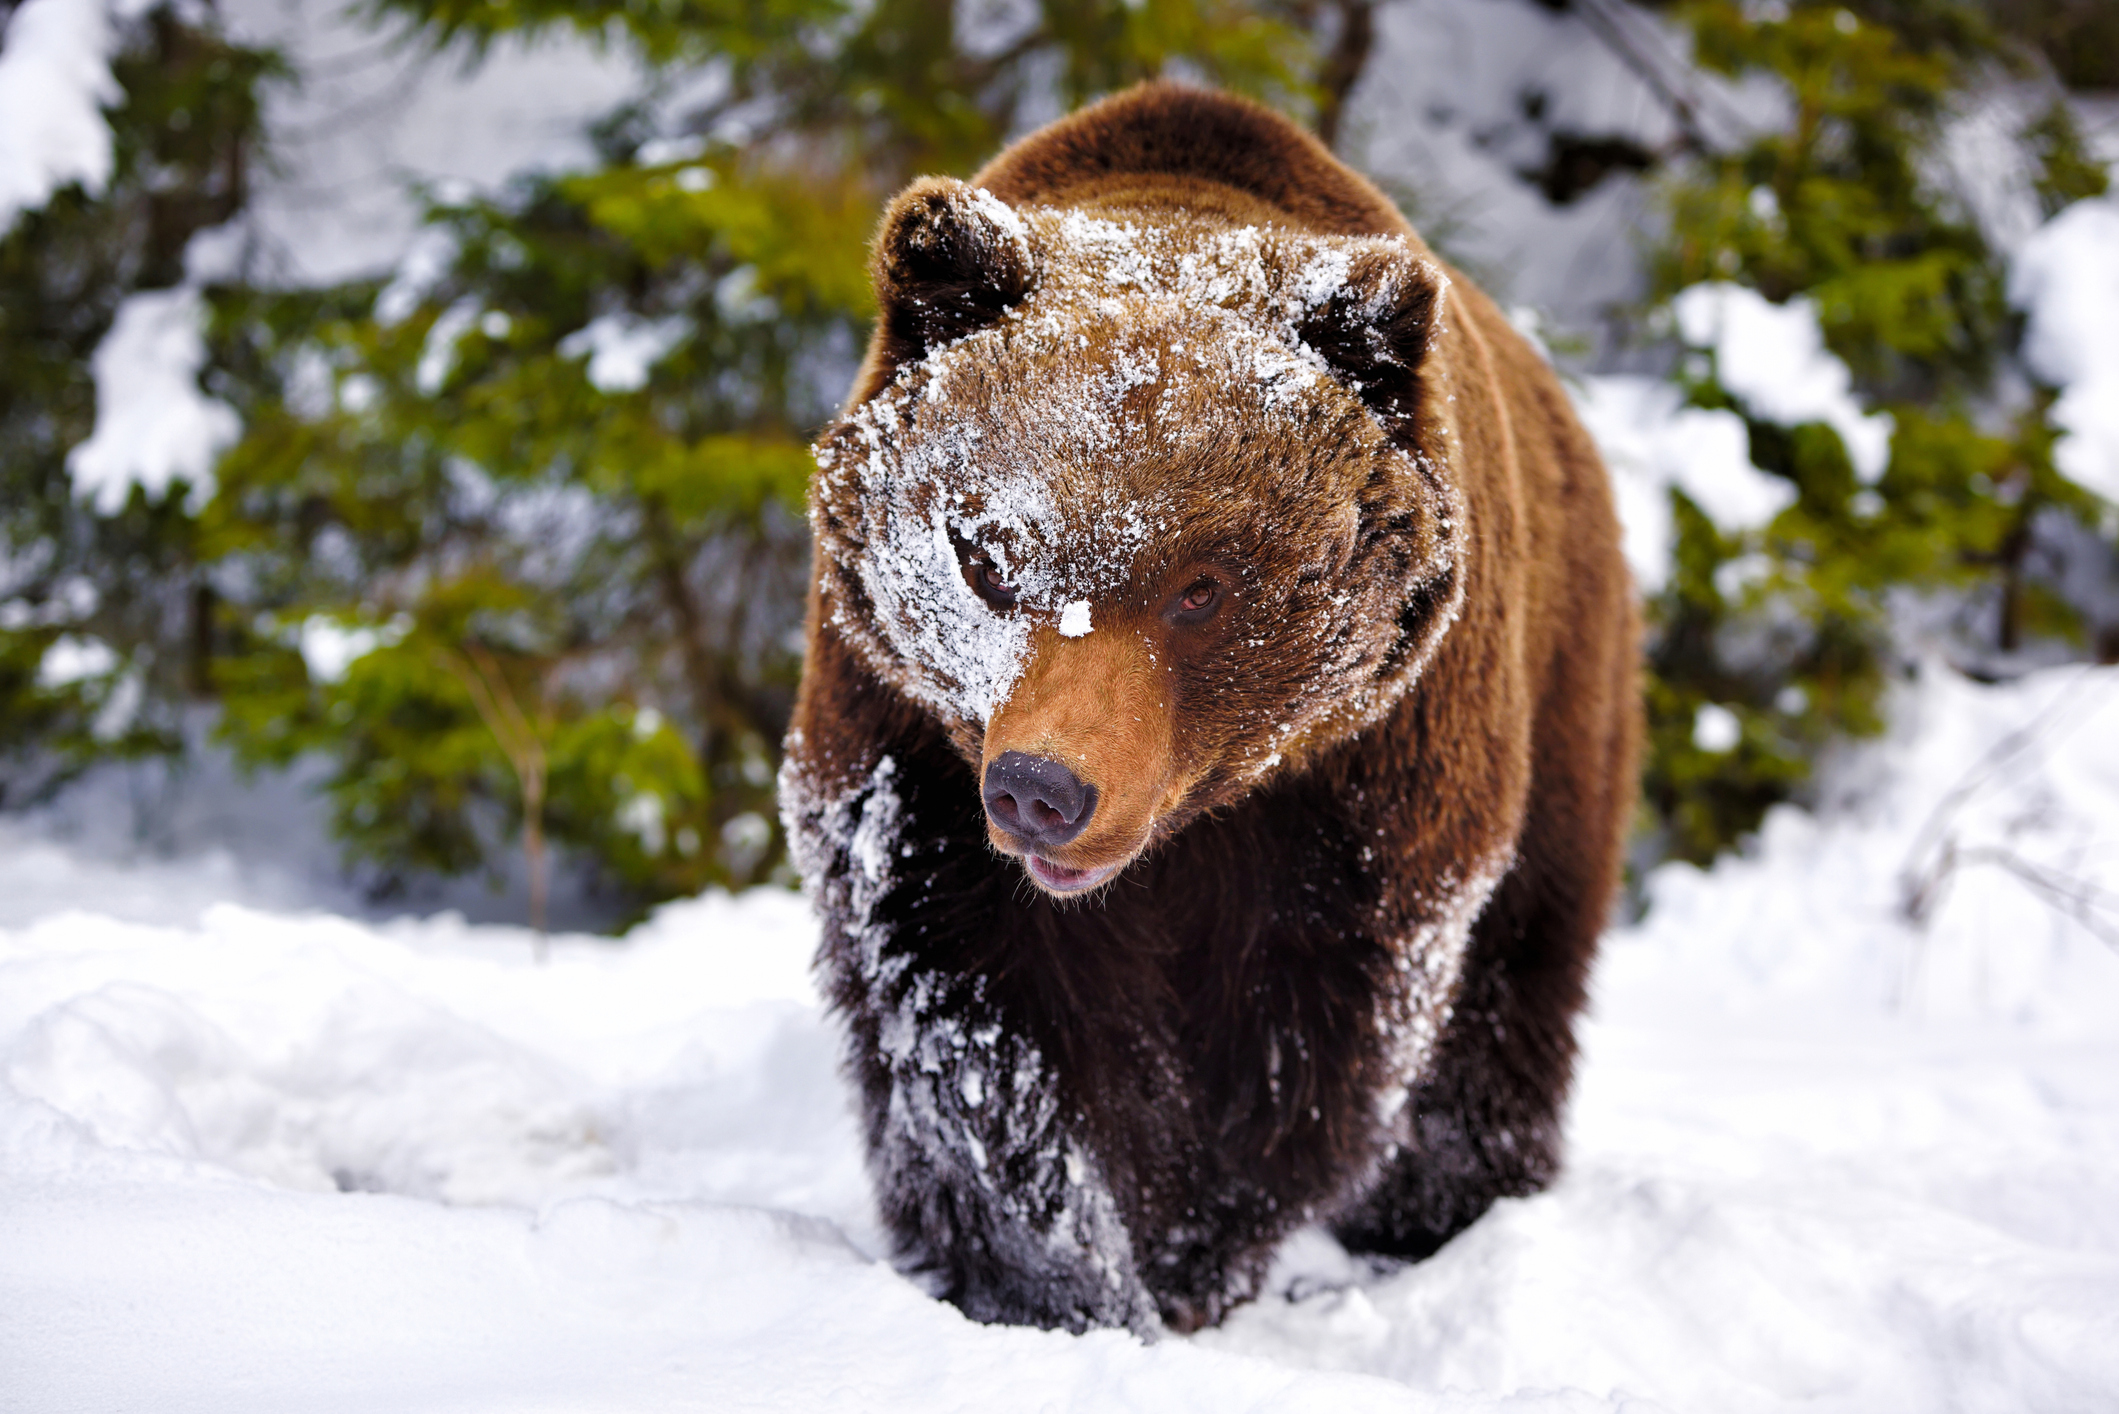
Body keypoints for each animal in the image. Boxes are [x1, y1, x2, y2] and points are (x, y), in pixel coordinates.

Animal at [779, 80, 1635, 1339]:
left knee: (1508, 994)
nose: (1043, 789)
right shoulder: (908, 758)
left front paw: (1190, 1254)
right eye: (983, 555)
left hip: (1568, 699)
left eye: (1202, 586)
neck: (1188, 831)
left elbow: (1298, 1055)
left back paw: (1445, 1214)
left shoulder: (1362, 796)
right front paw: (1052, 1278)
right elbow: (973, 1028)